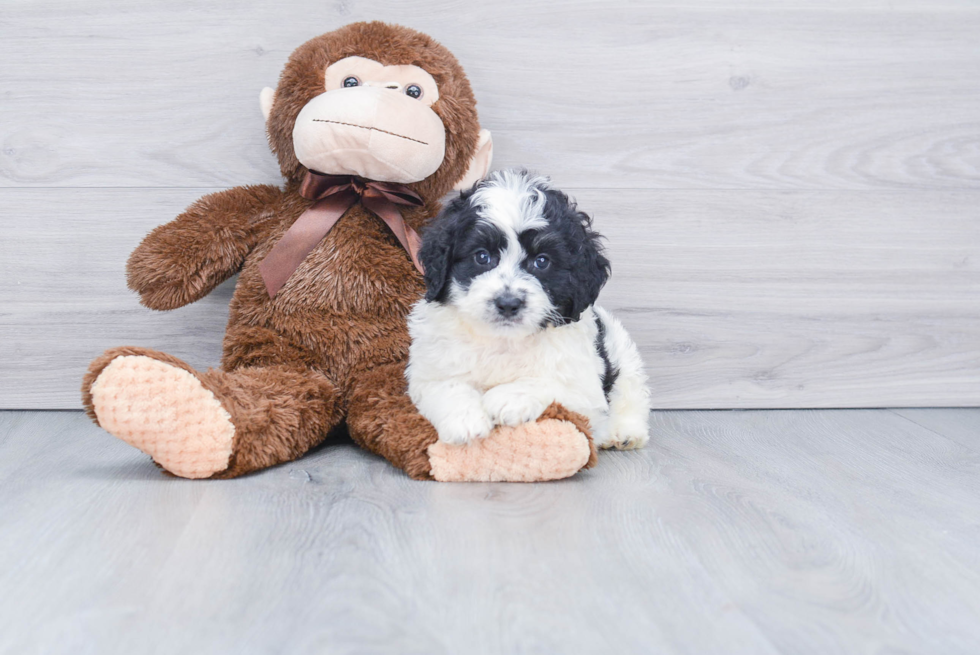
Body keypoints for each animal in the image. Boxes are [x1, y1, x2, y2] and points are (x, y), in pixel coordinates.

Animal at [406, 168, 652, 452]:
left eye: (541, 261)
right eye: (482, 256)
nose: (508, 303)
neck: (503, 340)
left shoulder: (585, 386)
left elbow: (551, 383)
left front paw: (507, 398)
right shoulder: (427, 372)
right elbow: (446, 385)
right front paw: (464, 420)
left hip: (622, 351)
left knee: (631, 393)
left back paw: (624, 432)